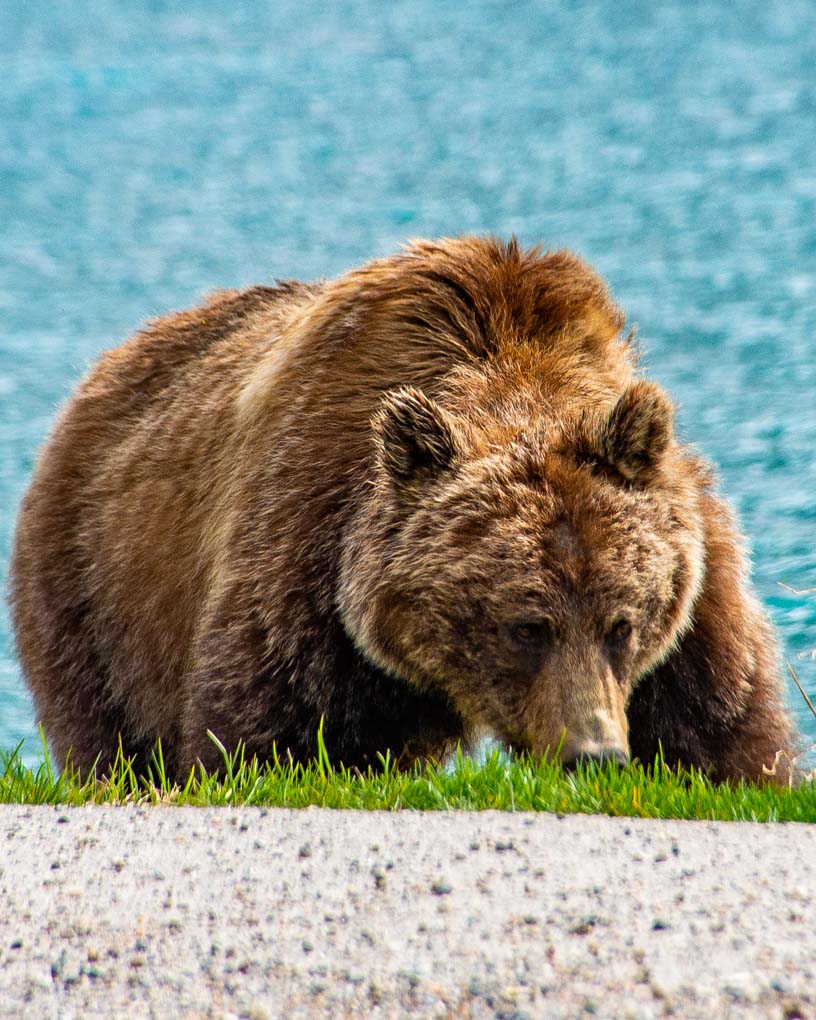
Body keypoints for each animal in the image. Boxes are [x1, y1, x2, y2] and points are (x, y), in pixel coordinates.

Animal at [10, 235, 795, 783]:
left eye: (622, 623)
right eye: (527, 626)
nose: (592, 753)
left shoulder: (695, 577)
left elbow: (723, 725)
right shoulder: (312, 554)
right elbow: (270, 729)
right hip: (93, 590)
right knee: (109, 734)